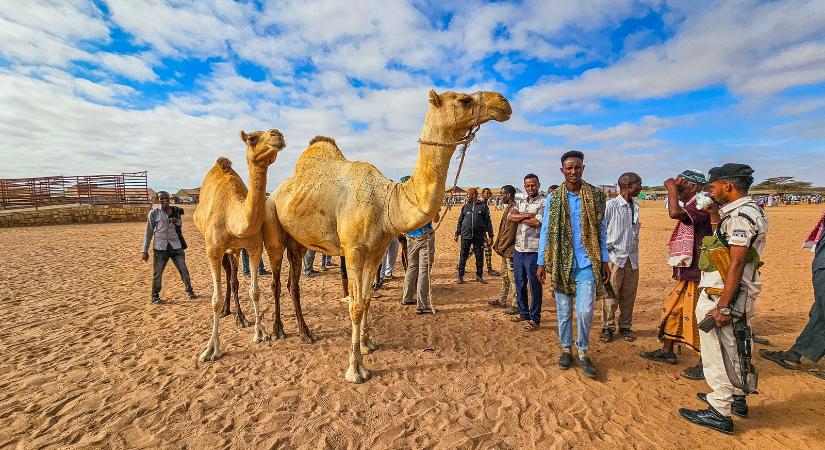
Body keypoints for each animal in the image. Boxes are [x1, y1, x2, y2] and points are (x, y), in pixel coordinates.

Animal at [194, 128, 286, 360]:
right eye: (252, 138)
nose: (277, 134)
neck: (231, 214)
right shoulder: (213, 250)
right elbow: (215, 300)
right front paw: (211, 349)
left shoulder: (254, 247)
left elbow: (255, 291)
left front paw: (261, 333)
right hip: (221, 249)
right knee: (229, 277)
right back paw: (229, 312)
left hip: (234, 250)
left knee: (233, 277)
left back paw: (239, 316)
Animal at [268, 89, 508, 382]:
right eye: (464, 99)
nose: (503, 102)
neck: (386, 202)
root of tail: (277, 192)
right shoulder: (354, 251)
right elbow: (355, 306)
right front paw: (355, 369)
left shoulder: (376, 251)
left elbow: (367, 299)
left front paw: (367, 345)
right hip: (274, 228)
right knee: (276, 281)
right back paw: (279, 331)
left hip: (298, 242)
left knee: (293, 284)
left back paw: (305, 332)